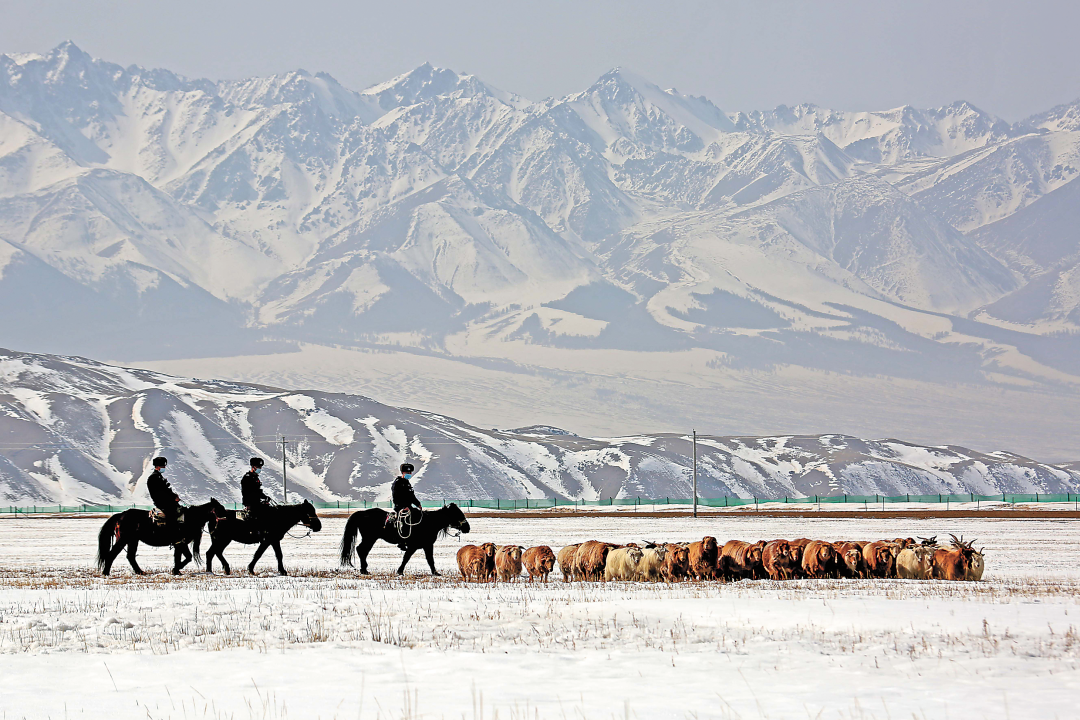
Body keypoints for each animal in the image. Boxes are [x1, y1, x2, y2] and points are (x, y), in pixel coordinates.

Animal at [95, 498, 225, 578]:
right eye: (220, 508)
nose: (226, 518)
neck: (190, 518)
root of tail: (120, 515)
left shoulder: (179, 544)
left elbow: (180, 557)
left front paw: (176, 570)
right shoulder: (181, 543)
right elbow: (187, 557)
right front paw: (175, 569)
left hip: (133, 541)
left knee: (130, 556)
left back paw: (140, 571)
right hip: (123, 540)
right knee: (112, 554)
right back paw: (106, 573)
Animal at [339, 505, 470, 578]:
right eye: (457, 513)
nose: (467, 527)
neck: (429, 522)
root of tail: (362, 513)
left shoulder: (425, 546)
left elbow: (428, 559)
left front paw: (435, 572)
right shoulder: (417, 546)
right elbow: (408, 558)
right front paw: (400, 571)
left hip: (370, 539)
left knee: (362, 550)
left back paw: (364, 569)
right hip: (370, 538)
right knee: (361, 550)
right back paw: (364, 569)